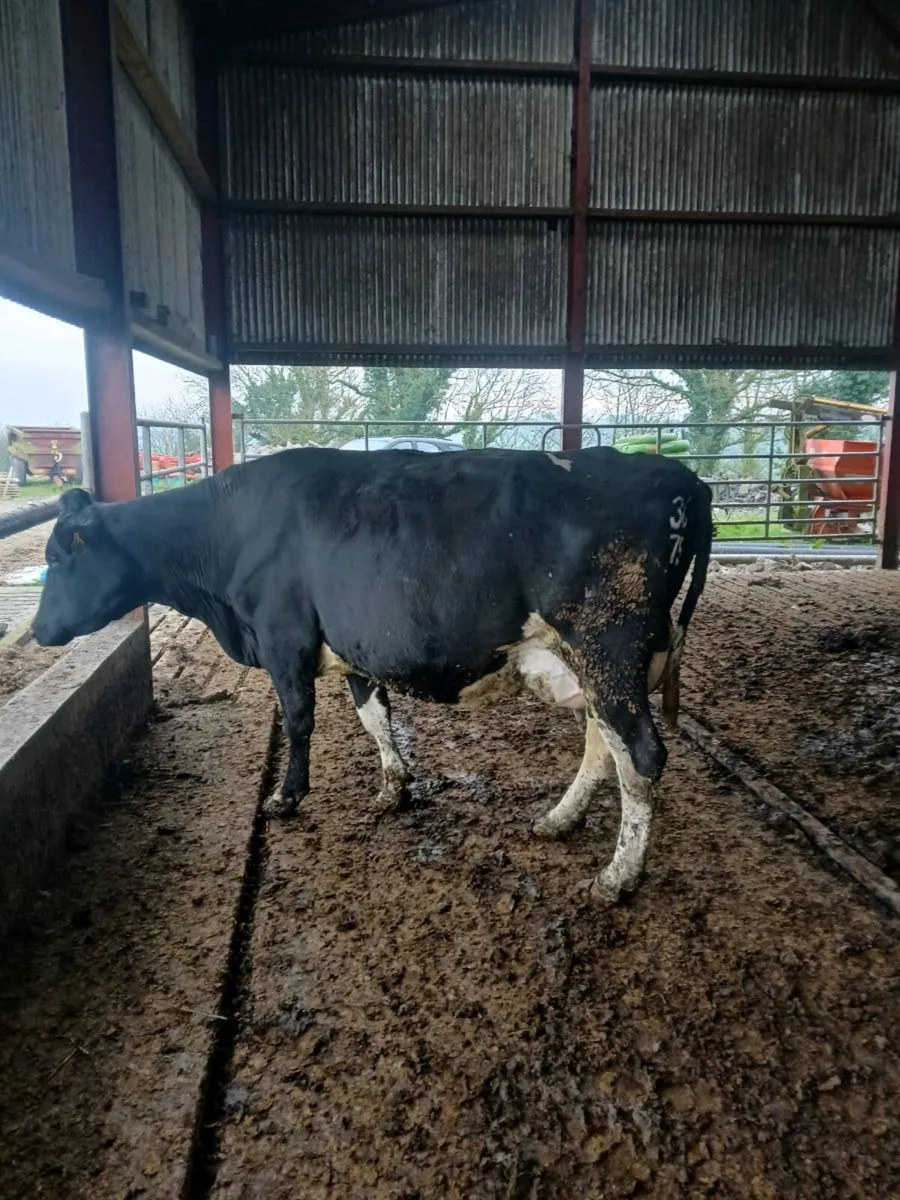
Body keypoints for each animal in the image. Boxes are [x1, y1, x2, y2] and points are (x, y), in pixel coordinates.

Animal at [32, 446, 712, 903]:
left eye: (59, 559)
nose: (38, 631)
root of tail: (680, 476)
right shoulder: (354, 644)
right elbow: (373, 715)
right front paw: (393, 787)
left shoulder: (283, 638)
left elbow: (300, 721)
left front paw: (286, 796)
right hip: (600, 664)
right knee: (604, 744)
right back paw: (559, 820)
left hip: (608, 648)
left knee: (641, 754)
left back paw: (618, 876)